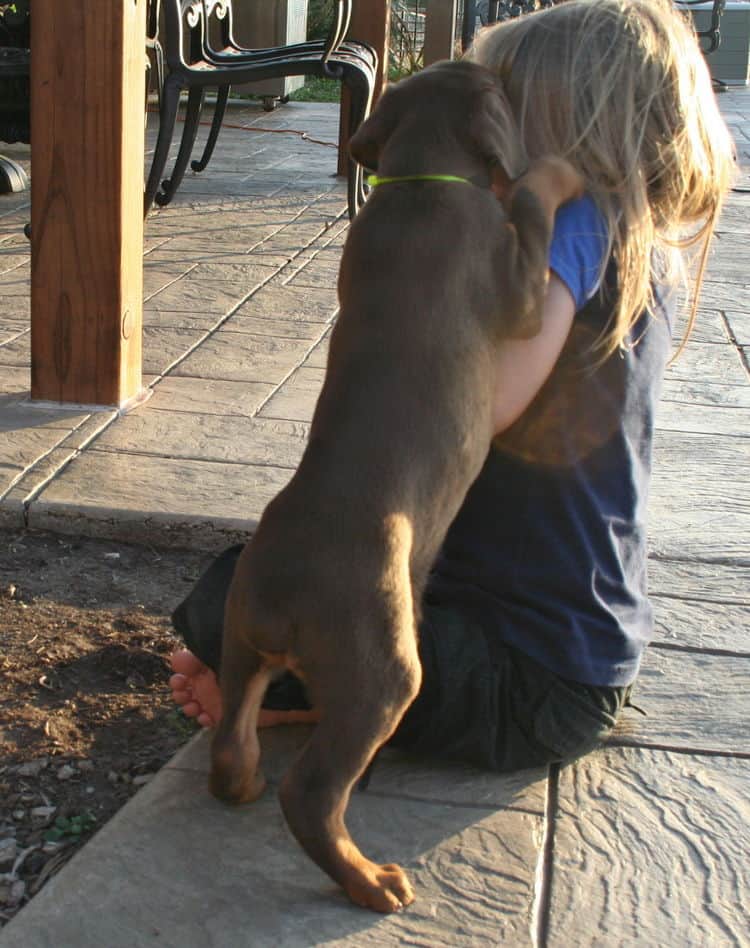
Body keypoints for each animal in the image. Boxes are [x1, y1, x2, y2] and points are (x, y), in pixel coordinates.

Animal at [212, 61, 588, 912]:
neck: (421, 179)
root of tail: (283, 587)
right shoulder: (517, 280)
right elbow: (532, 200)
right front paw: (562, 170)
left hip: (241, 636)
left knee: (231, 732)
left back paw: (242, 778)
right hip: (383, 670)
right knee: (312, 794)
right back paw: (370, 881)